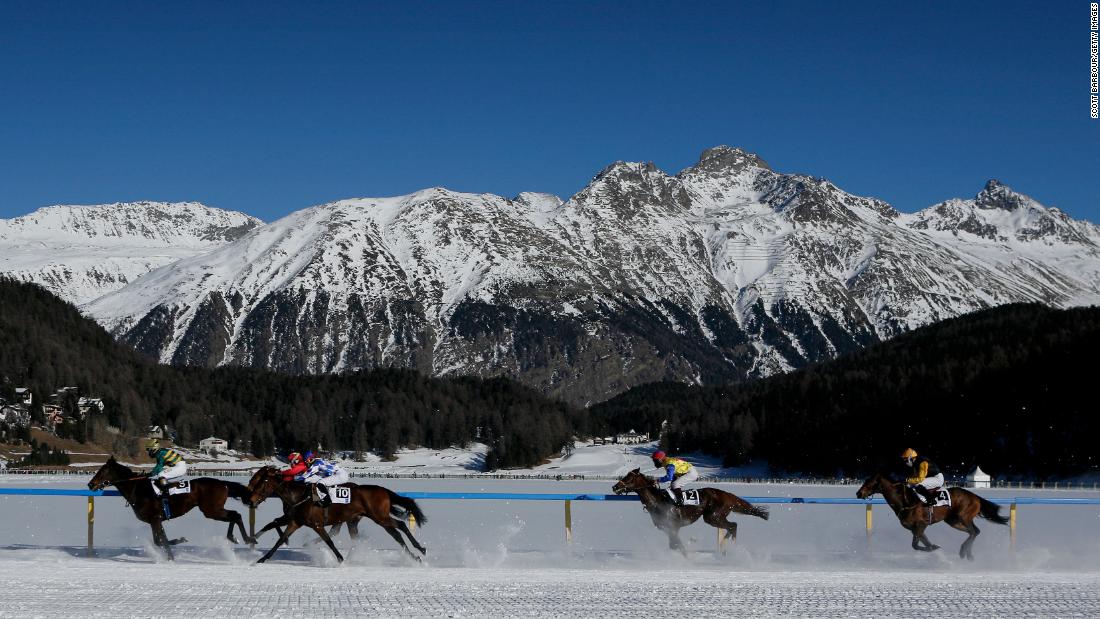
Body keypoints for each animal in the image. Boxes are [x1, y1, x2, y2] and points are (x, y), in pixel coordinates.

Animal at [87, 455, 255, 562]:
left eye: (102, 471)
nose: (90, 484)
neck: (138, 489)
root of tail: (222, 483)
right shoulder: (155, 520)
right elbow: (161, 540)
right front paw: (172, 555)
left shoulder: (155, 519)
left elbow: (160, 540)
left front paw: (177, 544)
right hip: (213, 509)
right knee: (234, 515)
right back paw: (236, 538)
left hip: (210, 510)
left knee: (236, 515)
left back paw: (245, 538)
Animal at [245, 466, 429, 562]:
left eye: (263, 480)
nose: (251, 499)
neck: (299, 496)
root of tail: (384, 491)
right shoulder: (295, 521)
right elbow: (279, 535)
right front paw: (262, 556)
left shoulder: (317, 524)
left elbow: (329, 541)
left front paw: (340, 559)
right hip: (360, 520)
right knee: (395, 532)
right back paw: (415, 554)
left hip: (379, 517)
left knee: (400, 527)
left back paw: (419, 550)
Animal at [611, 470, 765, 556]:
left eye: (628, 477)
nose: (615, 487)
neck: (657, 501)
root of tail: (726, 494)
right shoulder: (666, 528)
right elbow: (674, 545)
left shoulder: (673, 526)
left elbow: (678, 545)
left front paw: (690, 552)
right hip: (715, 517)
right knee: (732, 526)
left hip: (712, 516)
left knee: (733, 525)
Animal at [853, 472, 1007, 558]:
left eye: (870, 482)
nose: (858, 493)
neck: (906, 501)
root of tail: (975, 497)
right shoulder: (914, 529)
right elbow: (923, 543)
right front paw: (933, 548)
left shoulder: (921, 524)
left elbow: (916, 545)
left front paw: (934, 548)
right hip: (953, 521)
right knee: (974, 532)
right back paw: (967, 553)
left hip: (963, 517)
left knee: (974, 531)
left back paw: (964, 552)